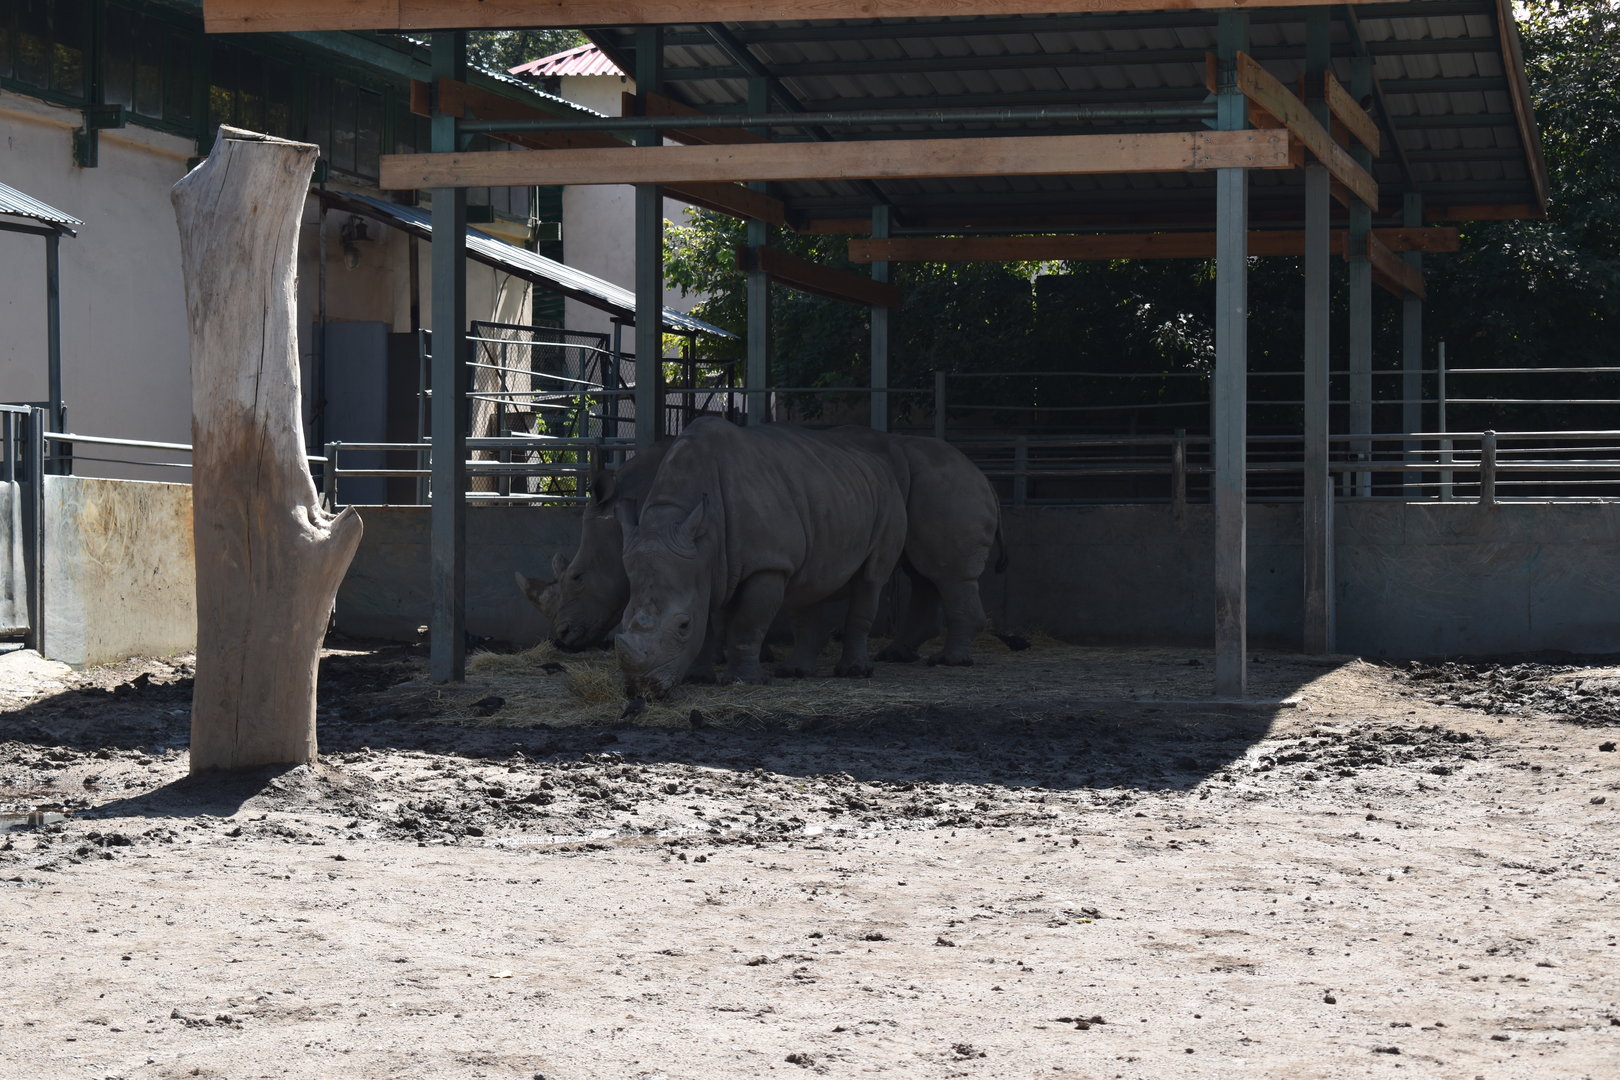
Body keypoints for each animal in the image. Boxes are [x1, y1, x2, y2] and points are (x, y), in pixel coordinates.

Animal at [614, 418, 908, 698]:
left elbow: (748, 623)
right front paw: (698, 677)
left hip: (888, 499)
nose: (641, 688)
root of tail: (878, 463)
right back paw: (795, 672)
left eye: (683, 625)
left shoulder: (768, 564)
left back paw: (854, 672)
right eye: (623, 621)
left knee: (870, 580)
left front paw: (743, 681)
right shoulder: (706, 569)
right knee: (810, 583)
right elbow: (707, 624)